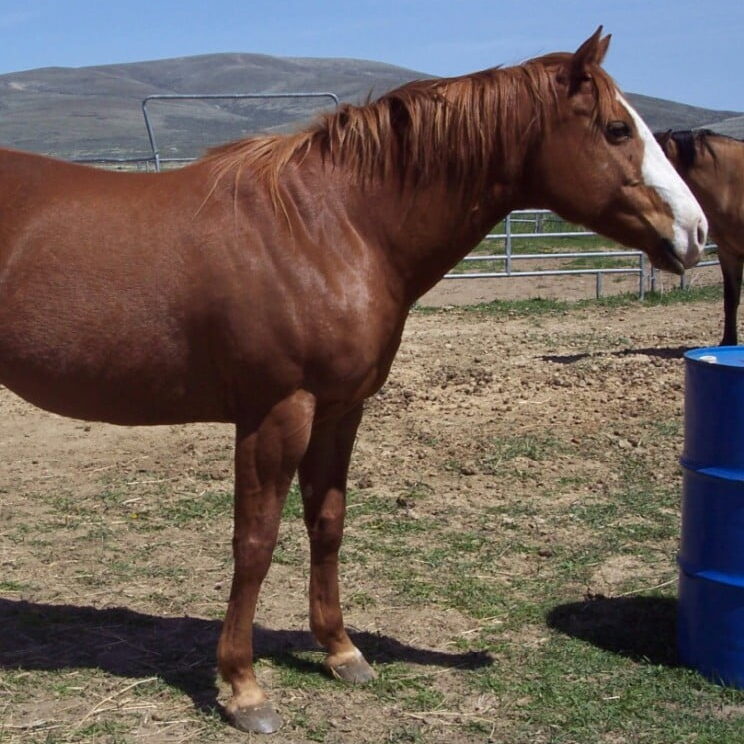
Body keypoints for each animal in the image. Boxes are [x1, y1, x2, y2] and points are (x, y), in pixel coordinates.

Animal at [0, 29, 706, 733]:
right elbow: (255, 542)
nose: (695, 232)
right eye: (617, 129)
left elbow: (328, 523)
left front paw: (341, 651)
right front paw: (244, 687)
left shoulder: (340, 410)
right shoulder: (276, 413)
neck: (329, 227)